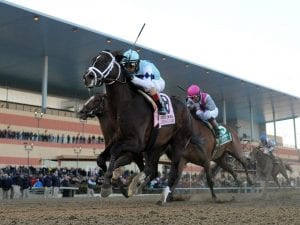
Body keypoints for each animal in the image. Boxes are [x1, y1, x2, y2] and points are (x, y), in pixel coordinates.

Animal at [82, 50, 216, 200]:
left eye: (105, 61)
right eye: (93, 60)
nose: (88, 76)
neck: (126, 104)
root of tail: (187, 111)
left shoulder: (136, 144)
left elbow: (115, 152)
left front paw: (108, 184)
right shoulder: (119, 140)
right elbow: (101, 159)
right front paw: (113, 182)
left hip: (178, 144)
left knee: (173, 171)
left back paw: (165, 196)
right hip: (157, 147)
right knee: (154, 170)